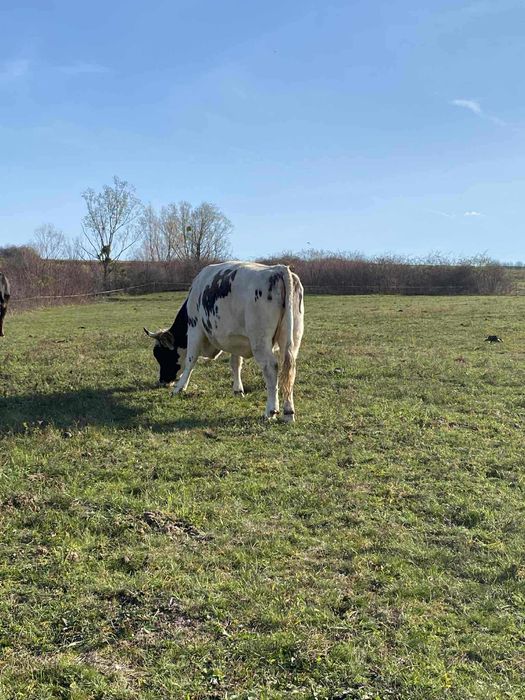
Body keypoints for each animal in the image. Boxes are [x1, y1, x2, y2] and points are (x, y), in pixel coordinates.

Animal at [144, 261, 304, 421]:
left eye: (161, 355)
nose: (162, 381)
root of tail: (278, 269)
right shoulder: (236, 339)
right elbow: (235, 364)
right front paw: (238, 390)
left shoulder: (195, 329)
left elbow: (190, 361)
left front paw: (179, 388)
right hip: (292, 339)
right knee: (289, 370)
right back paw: (288, 412)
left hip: (260, 341)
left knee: (271, 368)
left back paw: (271, 411)